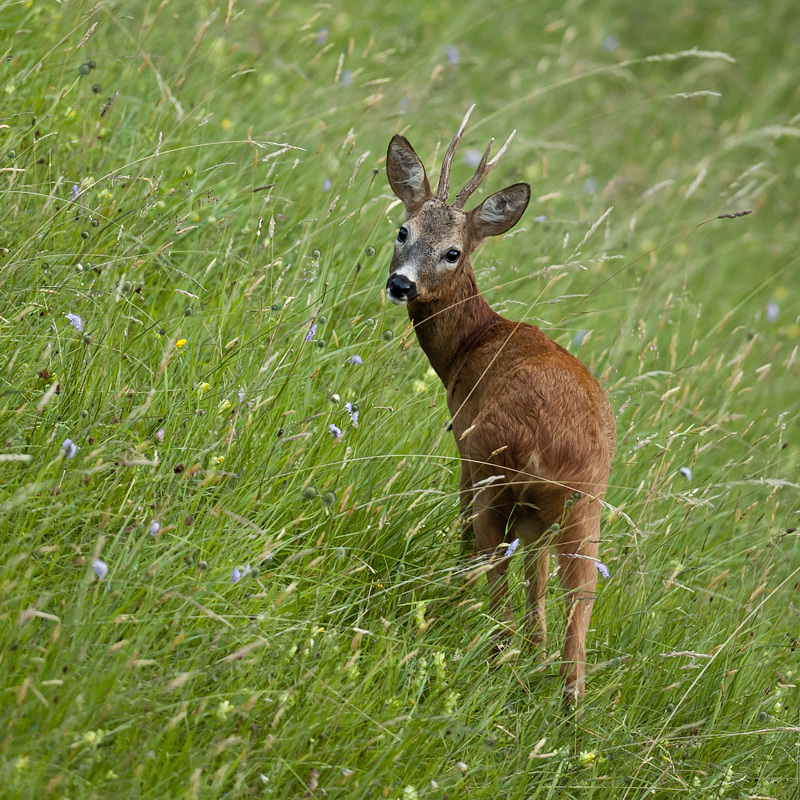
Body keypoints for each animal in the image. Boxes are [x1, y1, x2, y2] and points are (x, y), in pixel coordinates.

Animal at [384, 104, 616, 700]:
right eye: (402, 230)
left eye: (453, 252)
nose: (400, 284)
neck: (472, 344)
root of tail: (548, 452)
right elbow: (539, 590)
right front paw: (536, 654)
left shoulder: (464, 442)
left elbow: (466, 537)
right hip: (584, 507)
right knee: (575, 611)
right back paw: (562, 699)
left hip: (495, 468)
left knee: (494, 577)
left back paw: (489, 649)